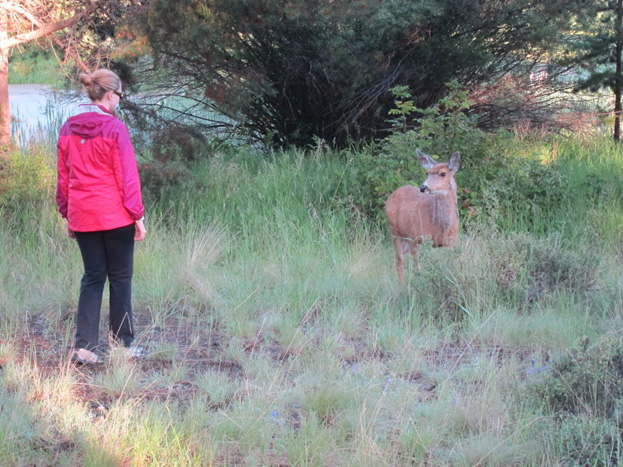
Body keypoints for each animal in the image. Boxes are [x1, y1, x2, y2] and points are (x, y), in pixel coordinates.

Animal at [386, 148, 464, 284]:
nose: (423, 187)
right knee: (399, 260)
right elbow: (419, 269)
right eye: (428, 173)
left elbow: (449, 267)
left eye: (443, 174)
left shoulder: (450, 242)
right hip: (395, 231)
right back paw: (403, 285)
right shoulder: (415, 238)